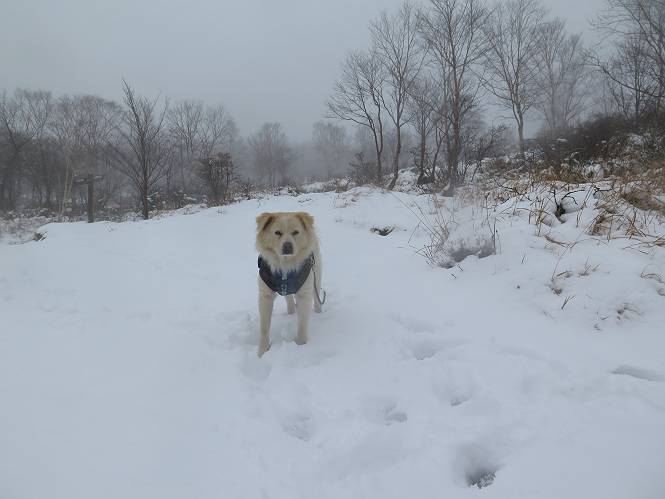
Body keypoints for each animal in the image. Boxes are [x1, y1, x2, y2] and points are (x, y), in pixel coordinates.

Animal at [255, 211, 324, 357]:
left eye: (295, 232)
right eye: (277, 232)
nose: (287, 246)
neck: (285, 266)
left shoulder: (304, 294)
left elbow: (302, 326)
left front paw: (300, 346)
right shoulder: (265, 296)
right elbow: (264, 329)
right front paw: (262, 352)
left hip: (317, 275)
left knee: (316, 298)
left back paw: (319, 313)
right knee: (289, 299)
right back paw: (291, 312)